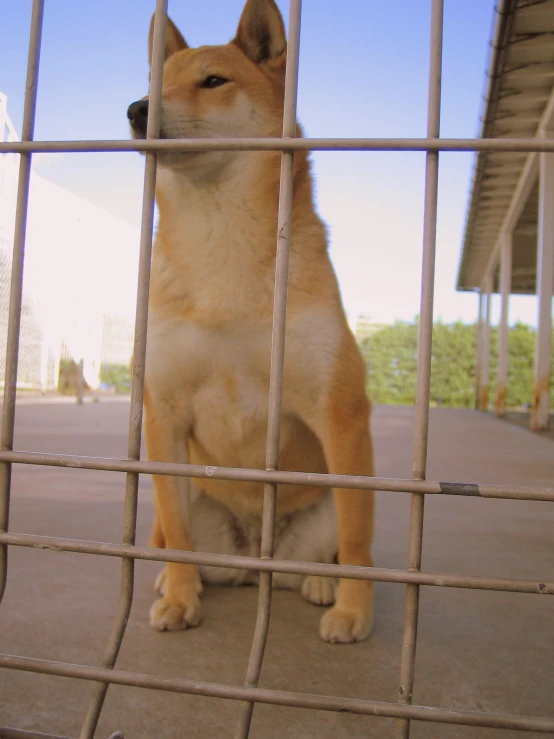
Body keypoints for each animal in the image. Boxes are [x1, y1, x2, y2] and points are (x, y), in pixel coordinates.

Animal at [127, 0, 374, 640]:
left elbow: (358, 536)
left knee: (337, 541)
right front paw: (181, 597)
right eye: (153, 84)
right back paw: (175, 579)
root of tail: (254, 559)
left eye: (213, 81)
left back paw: (323, 584)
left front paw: (354, 609)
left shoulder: (339, 411)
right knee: (172, 534)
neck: (221, 248)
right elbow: (176, 531)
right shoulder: (163, 412)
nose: (137, 111)